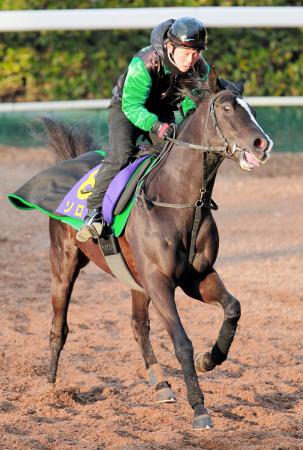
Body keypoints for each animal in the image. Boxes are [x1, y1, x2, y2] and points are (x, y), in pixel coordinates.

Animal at [43, 67, 274, 428]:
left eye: (249, 108)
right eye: (226, 108)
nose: (262, 144)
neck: (178, 201)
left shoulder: (197, 277)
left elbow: (233, 308)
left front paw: (210, 358)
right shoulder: (160, 282)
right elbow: (181, 341)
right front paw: (199, 408)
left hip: (135, 280)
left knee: (139, 326)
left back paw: (161, 384)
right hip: (64, 264)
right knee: (59, 327)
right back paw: (51, 389)